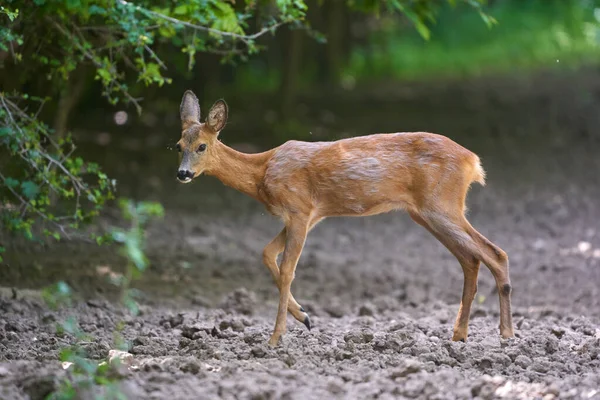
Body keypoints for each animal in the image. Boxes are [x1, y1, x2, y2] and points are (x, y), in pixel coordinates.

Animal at [176, 89, 512, 346]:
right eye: (178, 146)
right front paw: (305, 317)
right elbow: (267, 254)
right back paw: (459, 335)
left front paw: (276, 338)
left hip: (441, 204)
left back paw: (506, 334)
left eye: (202, 146)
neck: (262, 173)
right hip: (427, 212)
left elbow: (287, 270)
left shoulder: (299, 209)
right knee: (471, 259)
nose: (183, 174)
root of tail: (472, 161)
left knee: (495, 253)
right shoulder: (309, 215)